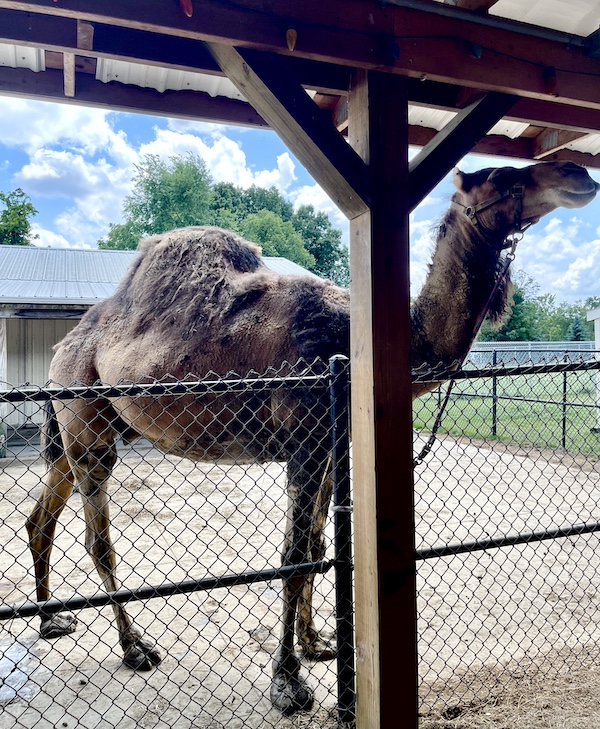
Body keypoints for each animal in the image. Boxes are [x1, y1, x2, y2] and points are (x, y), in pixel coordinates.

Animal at [26, 160, 598, 715]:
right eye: (502, 175)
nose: (579, 173)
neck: (351, 343)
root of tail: (64, 345)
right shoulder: (304, 439)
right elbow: (294, 555)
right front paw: (288, 683)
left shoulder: (330, 442)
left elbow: (320, 545)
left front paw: (316, 642)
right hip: (87, 418)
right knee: (98, 541)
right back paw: (135, 648)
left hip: (83, 425)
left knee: (41, 519)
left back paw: (52, 620)